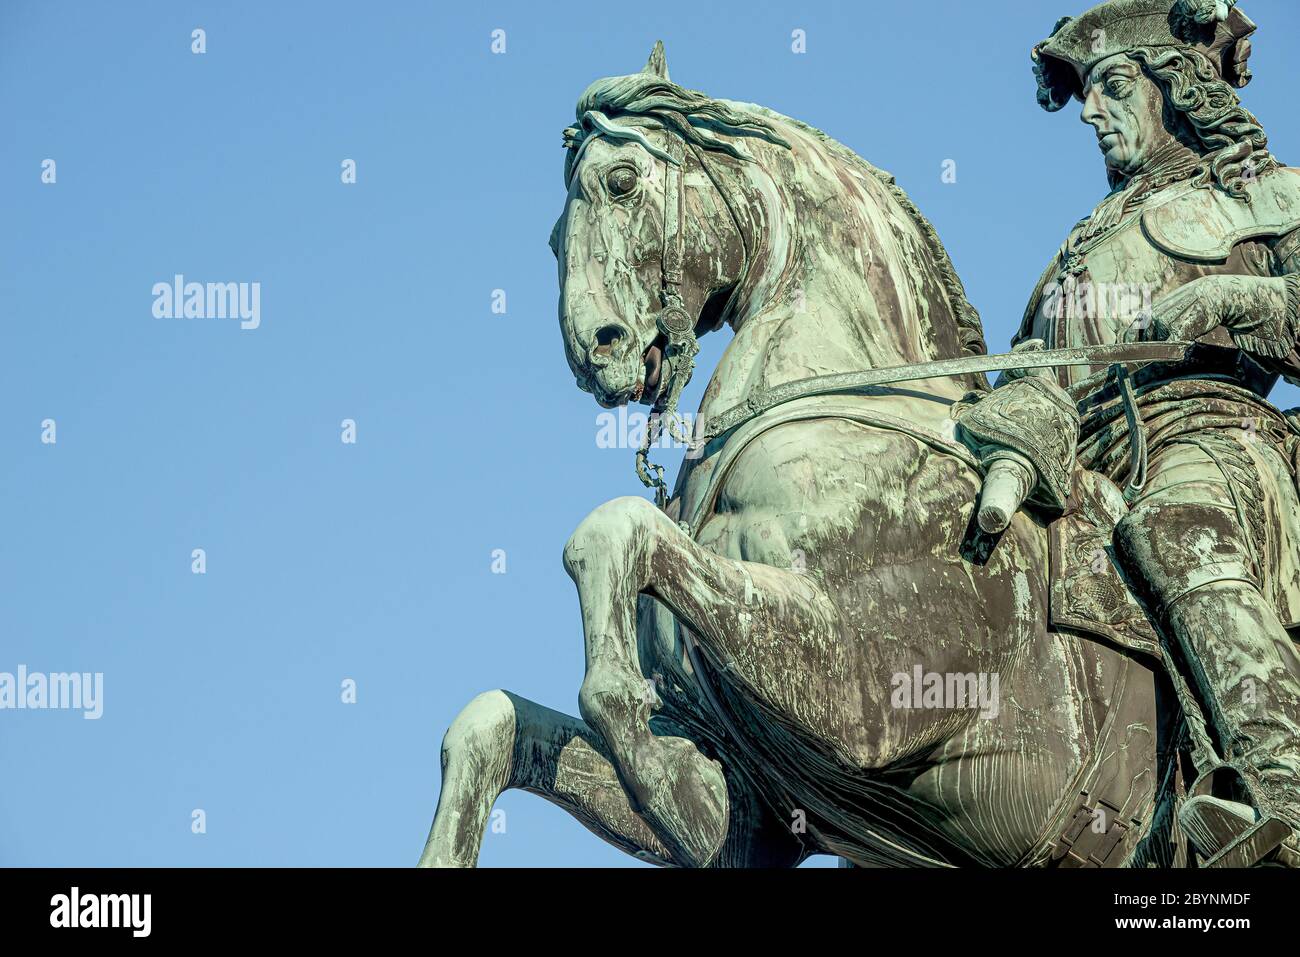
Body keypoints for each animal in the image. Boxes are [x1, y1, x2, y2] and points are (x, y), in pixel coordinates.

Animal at [421, 42, 1175, 868]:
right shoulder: (749, 797)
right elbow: (494, 720)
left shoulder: (868, 689)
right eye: (555, 235)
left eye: (621, 180)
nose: (595, 349)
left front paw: (644, 746)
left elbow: (614, 533)